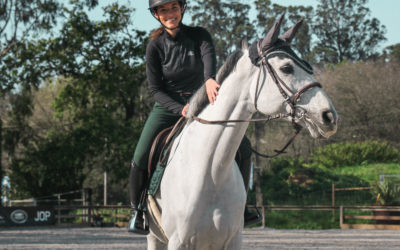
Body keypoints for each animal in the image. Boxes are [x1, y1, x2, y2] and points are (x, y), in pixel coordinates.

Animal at [146, 15, 338, 248]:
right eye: (286, 68)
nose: (329, 116)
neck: (210, 172)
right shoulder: (178, 242)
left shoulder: (233, 240)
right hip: (154, 238)